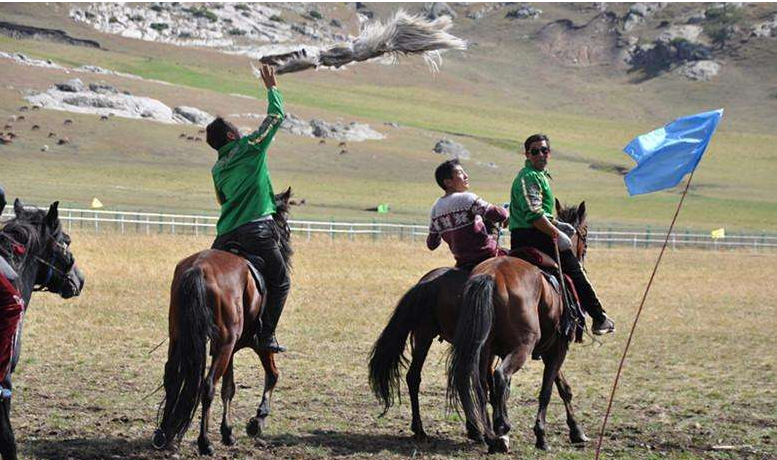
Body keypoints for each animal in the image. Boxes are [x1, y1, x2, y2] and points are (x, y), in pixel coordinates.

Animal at [153, 188, 292, 456]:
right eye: (284, 225)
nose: (287, 247)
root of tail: (198, 269)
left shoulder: (228, 348)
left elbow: (230, 387)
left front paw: (228, 432)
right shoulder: (254, 344)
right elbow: (272, 374)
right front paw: (257, 421)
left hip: (181, 336)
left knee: (173, 378)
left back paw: (164, 434)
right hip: (226, 343)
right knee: (207, 386)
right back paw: (204, 442)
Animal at [446, 201, 592, 452]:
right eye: (584, 234)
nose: (582, 258)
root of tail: (491, 275)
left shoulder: (551, 347)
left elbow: (563, 387)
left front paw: (576, 430)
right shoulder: (559, 347)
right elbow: (547, 390)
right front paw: (541, 435)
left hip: (484, 347)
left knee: (481, 383)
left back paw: (491, 435)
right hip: (522, 346)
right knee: (500, 376)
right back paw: (501, 428)